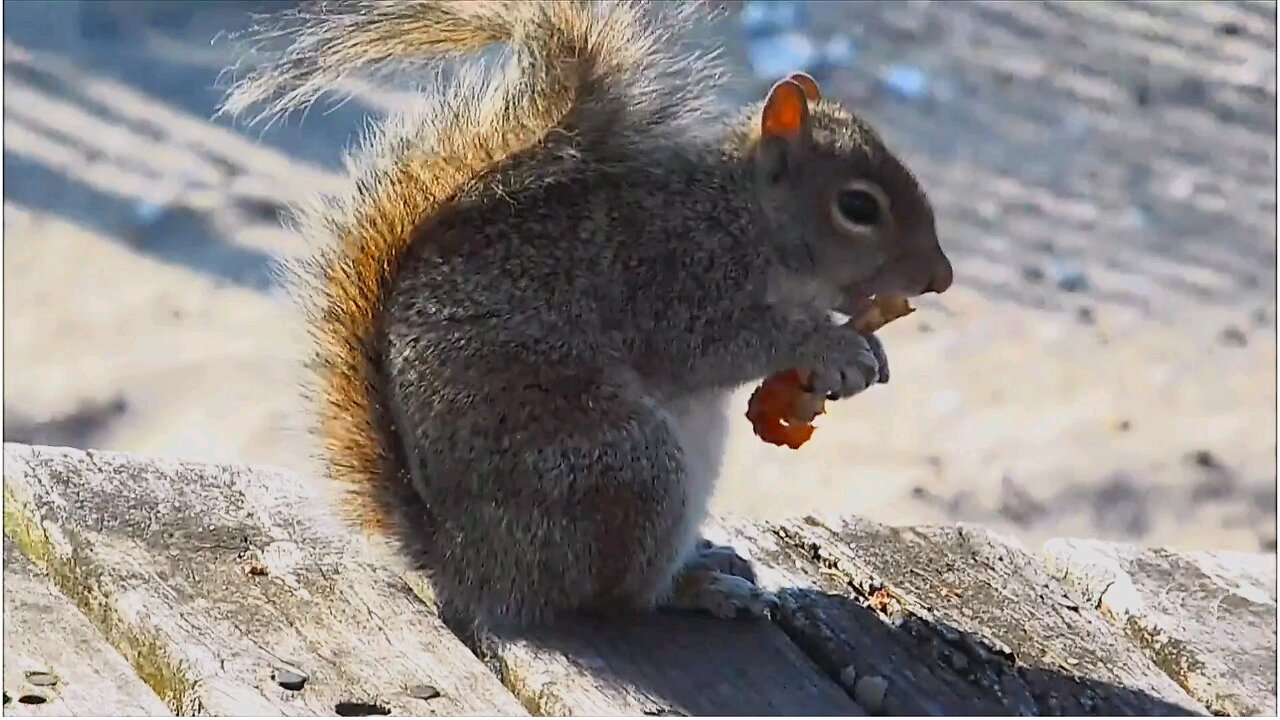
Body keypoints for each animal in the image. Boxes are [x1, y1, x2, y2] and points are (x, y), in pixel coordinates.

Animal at [225, 0, 957, 627]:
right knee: (621, 597)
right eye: (858, 206)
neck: (743, 215)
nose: (941, 278)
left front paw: (865, 355)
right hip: (626, 466)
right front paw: (832, 348)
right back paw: (701, 589)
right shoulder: (669, 275)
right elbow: (721, 342)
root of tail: (468, 565)